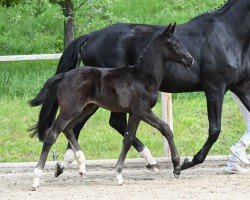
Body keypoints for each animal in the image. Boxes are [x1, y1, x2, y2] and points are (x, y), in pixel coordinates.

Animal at [29, 23, 193, 189]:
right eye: (174, 44)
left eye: (181, 42)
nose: (190, 60)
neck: (143, 77)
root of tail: (63, 76)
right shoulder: (143, 110)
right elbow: (166, 128)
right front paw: (177, 168)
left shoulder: (134, 113)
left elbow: (128, 139)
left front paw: (119, 174)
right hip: (70, 109)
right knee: (52, 134)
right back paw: (36, 179)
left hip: (85, 108)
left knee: (68, 128)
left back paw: (81, 165)